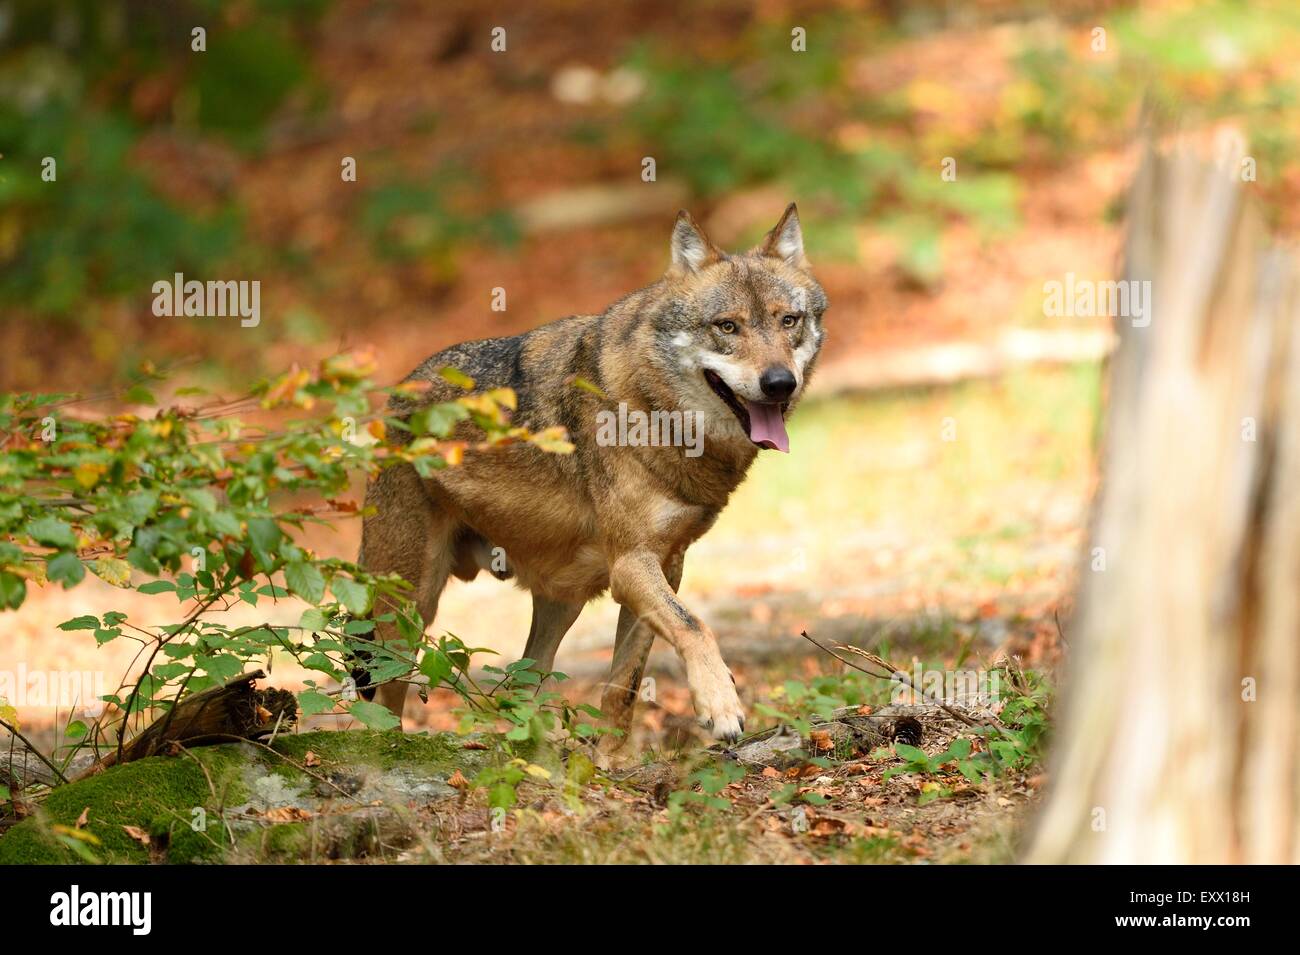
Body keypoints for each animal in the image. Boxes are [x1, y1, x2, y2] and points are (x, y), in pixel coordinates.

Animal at [353, 203, 821, 764]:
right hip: (408, 607)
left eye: (788, 321)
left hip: (561, 602)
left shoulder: (666, 567)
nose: (779, 383)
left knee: (518, 689)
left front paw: (612, 763)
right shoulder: (631, 565)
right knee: (383, 694)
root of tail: (397, 395)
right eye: (727, 326)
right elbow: (696, 626)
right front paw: (721, 706)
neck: (660, 415)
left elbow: (624, 685)